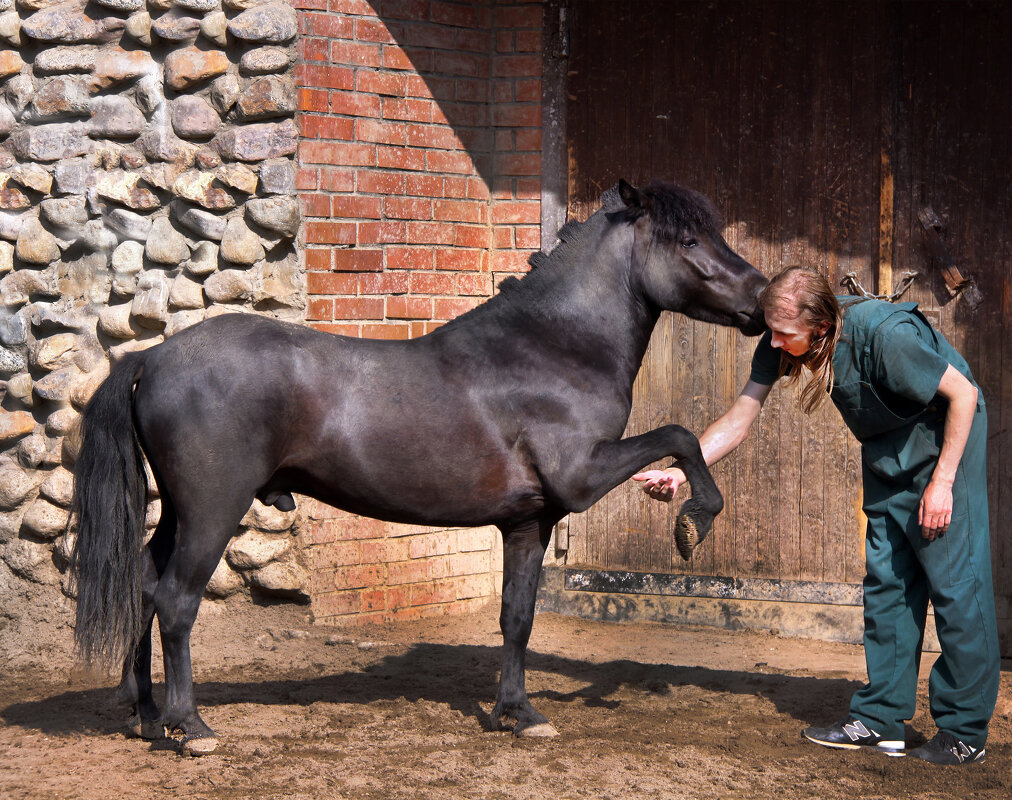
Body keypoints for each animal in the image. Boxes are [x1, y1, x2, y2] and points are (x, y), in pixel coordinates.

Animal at [71, 178, 765, 752]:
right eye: (688, 239)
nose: (763, 300)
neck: (552, 348)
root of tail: (151, 358)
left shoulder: (530, 522)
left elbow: (517, 617)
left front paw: (518, 714)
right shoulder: (583, 477)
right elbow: (680, 435)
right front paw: (694, 521)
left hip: (179, 512)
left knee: (142, 584)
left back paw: (146, 715)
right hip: (213, 510)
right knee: (175, 600)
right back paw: (190, 727)